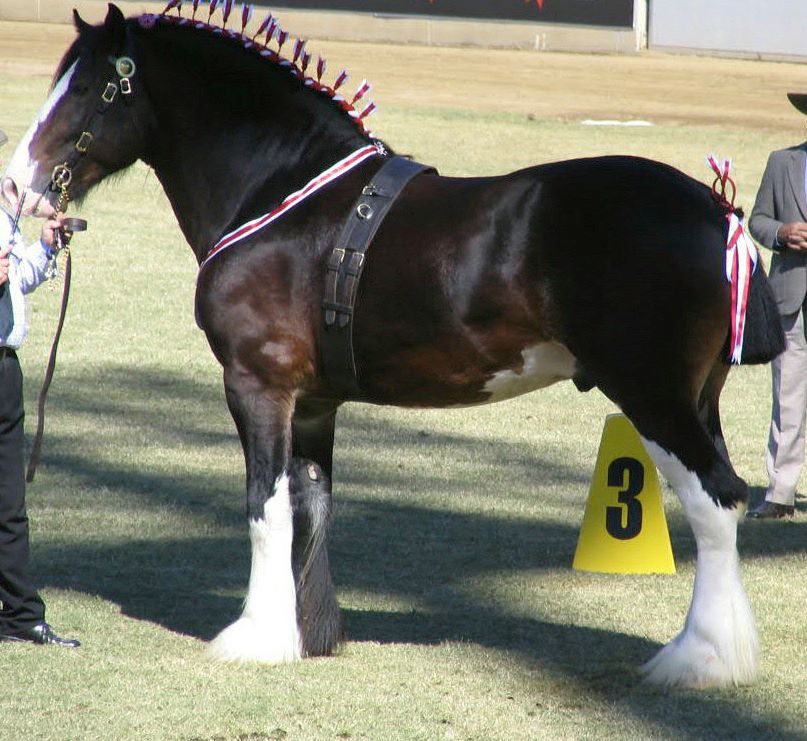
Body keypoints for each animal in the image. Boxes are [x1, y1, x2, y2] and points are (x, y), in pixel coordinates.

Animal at [0, 2, 784, 688]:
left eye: (92, 88)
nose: (20, 184)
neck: (283, 194)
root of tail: (715, 208)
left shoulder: (257, 384)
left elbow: (263, 506)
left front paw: (255, 638)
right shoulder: (314, 402)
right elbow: (309, 504)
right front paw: (311, 636)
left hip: (654, 398)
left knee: (713, 503)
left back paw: (698, 658)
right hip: (698, 399)